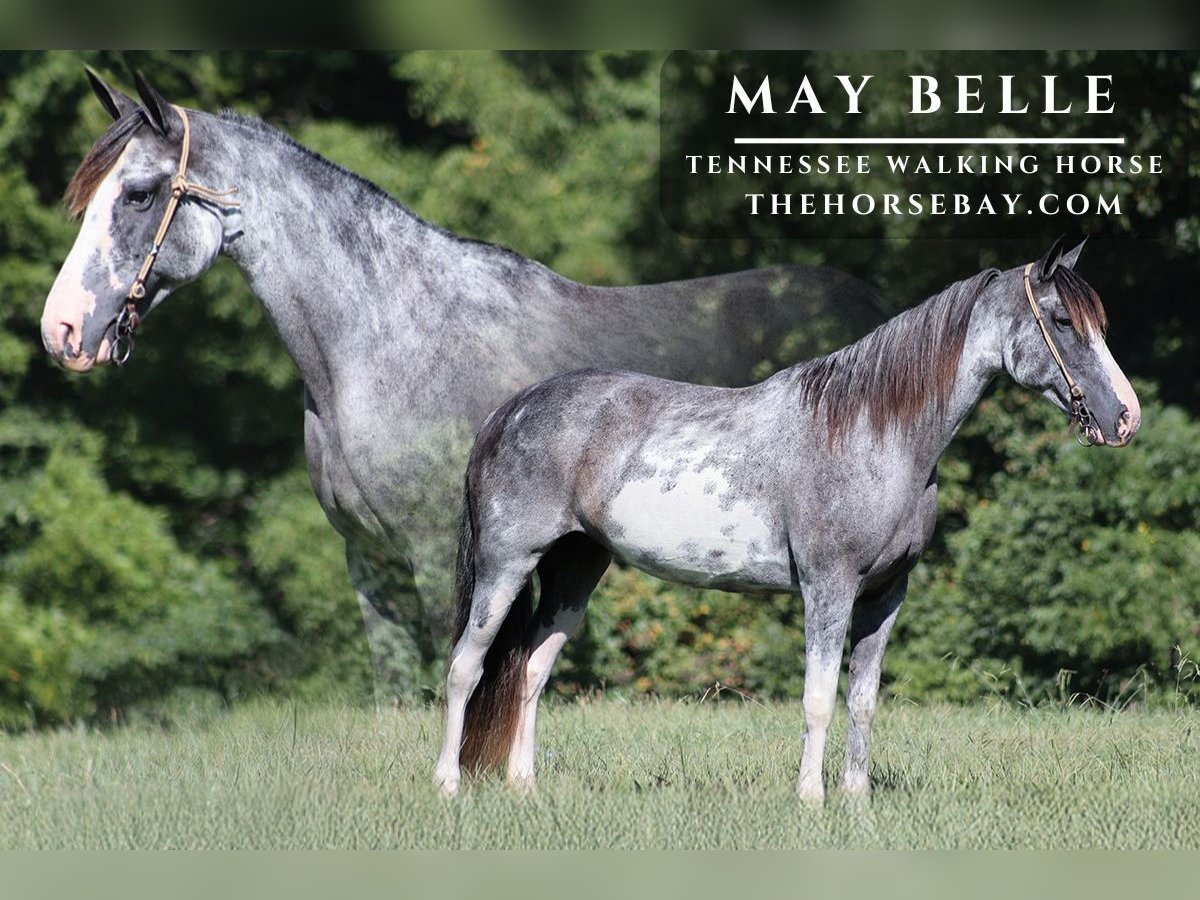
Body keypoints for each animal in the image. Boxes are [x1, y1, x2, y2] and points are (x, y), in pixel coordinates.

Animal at [38, 68, 888, 695]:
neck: (385, 342)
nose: (62, 330)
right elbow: (394, 689)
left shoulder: (433, 552)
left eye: (139, 193)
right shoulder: (368, 560)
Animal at [434, 238, 1141, 801]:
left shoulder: (886, 594)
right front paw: (811, 798)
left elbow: (862, 700)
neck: (872, 432)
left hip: (576, 569)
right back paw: (447, 783)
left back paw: (523, 784)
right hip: (506, 566)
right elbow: (819, 698)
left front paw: (855, 800)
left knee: (530, 670)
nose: (1125, 418)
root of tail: (513, 408)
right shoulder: (829, 589)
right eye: (1061, 320)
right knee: (467, 667)